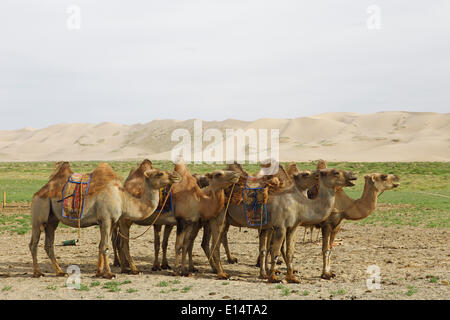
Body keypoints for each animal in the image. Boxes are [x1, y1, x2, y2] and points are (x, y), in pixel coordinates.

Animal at [28, 161, 181, 278]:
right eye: (160, 173)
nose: (176, 176)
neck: (122, 198)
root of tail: (40, 191)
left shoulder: (109, 222)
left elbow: (101, 245)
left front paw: (99, 272)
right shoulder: (107, 219)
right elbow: (106, 246)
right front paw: (109, 274)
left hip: (52, 220)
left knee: (49, 244)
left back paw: (60, 272)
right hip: (38, 213)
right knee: (33, 243)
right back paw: (37, 273)